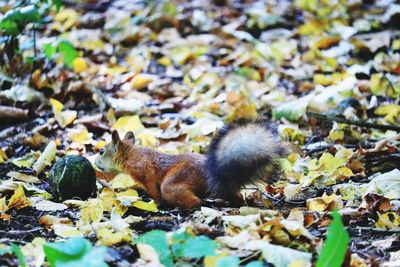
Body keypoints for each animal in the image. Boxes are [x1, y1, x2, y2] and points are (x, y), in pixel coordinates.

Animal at [95, 120, 286, 210]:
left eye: (101, 151)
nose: (95, 162)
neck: (130, 154)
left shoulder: (144, 169)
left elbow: (153, 189)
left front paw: (155, 203)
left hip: (177, 181)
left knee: (195, 201)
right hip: (223, 188)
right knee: (234, 195)